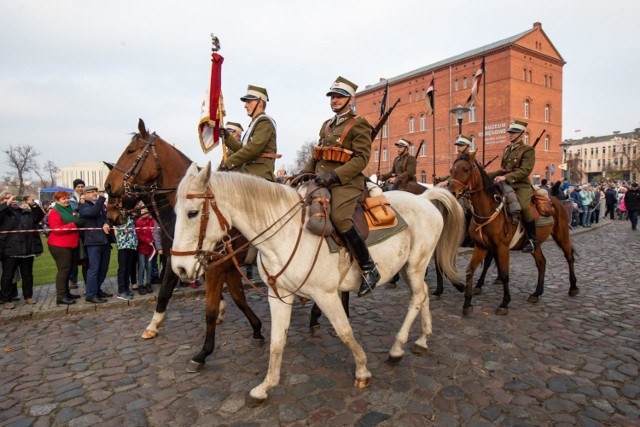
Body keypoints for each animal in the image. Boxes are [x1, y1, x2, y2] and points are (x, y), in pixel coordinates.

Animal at [104, 118, 264, 372]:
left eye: (130, 151)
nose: (108, 186)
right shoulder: (214, 263)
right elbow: (237, 298)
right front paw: (255, 327)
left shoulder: (207, 263)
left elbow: (197, 303)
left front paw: (203, 351)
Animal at [169, 163, 464, 404]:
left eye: (192, 213)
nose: (179, 269)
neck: (286, 234)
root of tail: (424, 198)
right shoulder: (279, 295)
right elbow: (277, 341)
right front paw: (266, 386)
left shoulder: (326, 295)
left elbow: (344, 331)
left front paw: (362, 369)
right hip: (410, 269)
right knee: (422, 295)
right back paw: (422, 339)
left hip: (415, 265)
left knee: (417, 297)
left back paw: (396, 348)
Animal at [448, 152, 576, 316]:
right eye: (452, 170)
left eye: (465, 169)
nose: (452, 192)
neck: (488, 211)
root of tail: (556, 201)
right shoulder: (481, 246)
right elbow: (470, 270)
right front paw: (467, 303)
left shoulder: (502, 248)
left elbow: (504, 274)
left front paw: (504, 303)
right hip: (535, 245)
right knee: (541, 263)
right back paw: (536, 293)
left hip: (562, 235)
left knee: (569, 256)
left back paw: (573, 287)